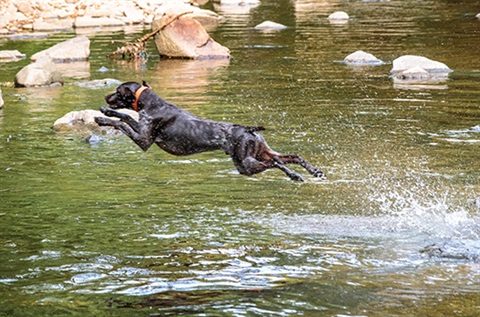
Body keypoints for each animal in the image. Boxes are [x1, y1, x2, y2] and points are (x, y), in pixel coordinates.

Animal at [94, 80, 326, 181]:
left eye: (117, 91)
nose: (105, 97)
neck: (152, 103)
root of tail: (249, 130)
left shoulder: (143, 139)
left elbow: (122, 121)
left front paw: (102, 117)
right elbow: (123, 117)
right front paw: (105, 111)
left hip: (246, 164)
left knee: (277, 163)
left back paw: (295, 175)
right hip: (260, 153)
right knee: (293, 156)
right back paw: (314, 172)